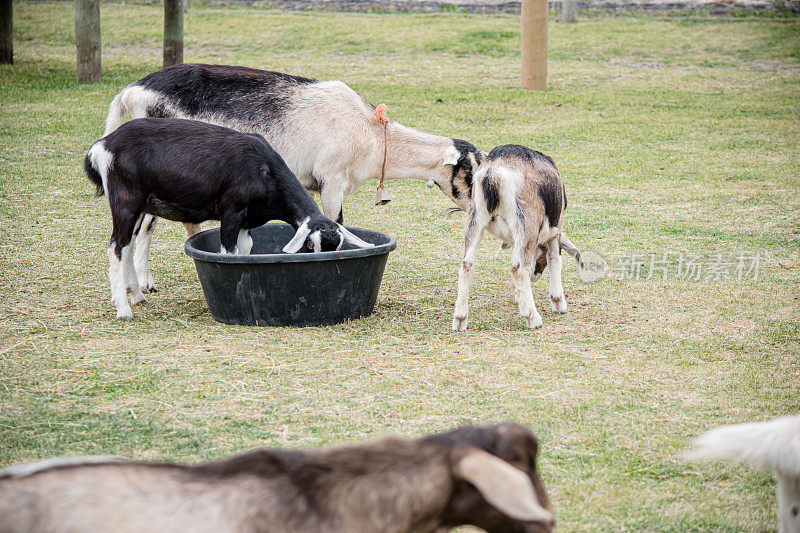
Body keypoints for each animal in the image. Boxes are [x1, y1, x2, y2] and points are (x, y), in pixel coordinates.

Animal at [86, 117, 374, 320]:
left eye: (337, 246)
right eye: (310, 245)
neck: (265, 171)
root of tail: (102, 146)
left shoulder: (247, 223)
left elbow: (245, 253)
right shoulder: (232, 214)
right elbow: (228, 253)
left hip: (140, 206)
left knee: (127, 245)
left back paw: (135, 295)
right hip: (126, 200)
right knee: (116, 246)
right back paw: (124, 310)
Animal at [454, 143, 584, 330]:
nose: (535, 277)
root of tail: (493, 172)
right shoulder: (554, 231)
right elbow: (555, 261)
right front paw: (558, 303)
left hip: (475, 219)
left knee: (467, 264)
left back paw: (460, 319)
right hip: (527, 224)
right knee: (518, 267)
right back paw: (532, 318)